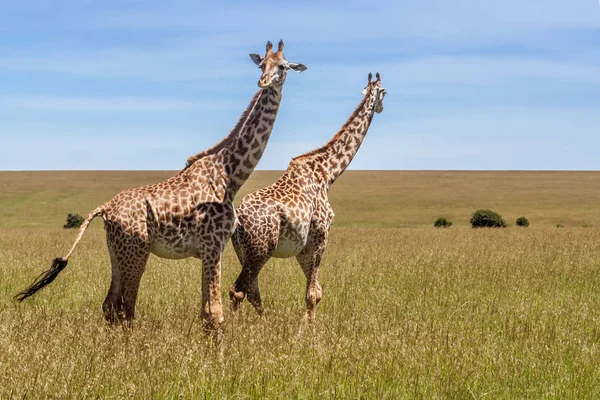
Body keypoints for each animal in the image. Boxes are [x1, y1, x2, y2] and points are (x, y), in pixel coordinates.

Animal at [230, 73, 390, 320]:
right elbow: (313, 294)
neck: (327, 174)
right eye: (385, 92)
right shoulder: (320, 237)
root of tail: (238, 220)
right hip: (260, 250)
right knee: (239, 290)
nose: (381, 107)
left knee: (252, 291)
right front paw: (308, 329)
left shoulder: (303, 247)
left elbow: (315, 291)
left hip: (244, 252)